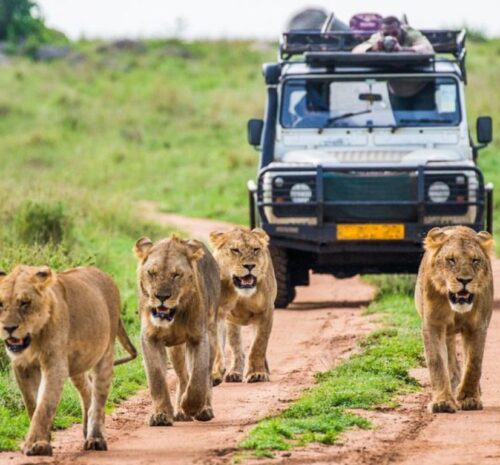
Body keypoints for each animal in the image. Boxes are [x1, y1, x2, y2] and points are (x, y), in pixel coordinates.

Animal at [0, 262, 137, 454]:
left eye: (25, 303)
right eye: (0, 304)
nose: (8, 328)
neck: (34, 338)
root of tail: (105, 275)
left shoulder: (55, 364)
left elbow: (45, 405)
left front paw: (36, 444)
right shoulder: (21, 366)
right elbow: (32, 404)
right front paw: (42, 441)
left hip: (105, 354)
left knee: (98, 399)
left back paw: (95, 438)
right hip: (77, 363)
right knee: (87, 390)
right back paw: (87, 430)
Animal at [134, 236, 220, 424]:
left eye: (176, 275)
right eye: (152, 273)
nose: (161, 296)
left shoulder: (199, 338)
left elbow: (198, 378)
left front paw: (191, 406)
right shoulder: (149, 338)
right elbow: (156, 378)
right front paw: (161, 415)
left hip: (212, 336)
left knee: (206, 376)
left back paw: (203, 409)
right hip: (176, 349)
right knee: (182, 376)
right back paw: (180, 412)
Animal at [208, 227, 276, 382]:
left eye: (256, 249)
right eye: (235, 250)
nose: (250, 265)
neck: (239, 293)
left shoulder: (266, 312)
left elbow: (258, 345)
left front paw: (257, 373)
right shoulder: (217, 314)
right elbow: (217, 346)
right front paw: (215, 373)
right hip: (232, 324)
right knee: (237, 348)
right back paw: (234, 373)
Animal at [416, 227, 494, 412]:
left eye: (475, 260)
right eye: (451, 260)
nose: (464, 280)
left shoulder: (477, 326)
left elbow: (474, 363)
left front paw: (469, 398)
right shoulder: (433, 325)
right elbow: (437, 362)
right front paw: (442, 402)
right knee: (450, 358)